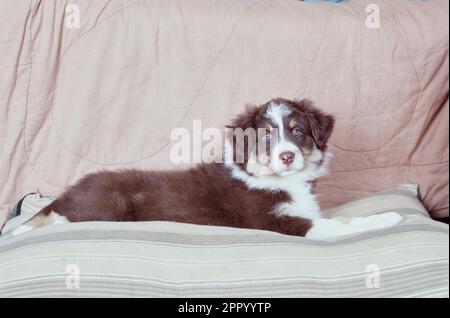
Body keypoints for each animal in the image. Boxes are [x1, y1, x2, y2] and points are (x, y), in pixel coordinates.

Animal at [11, 98, 400, 240]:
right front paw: (390, 218)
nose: (288, 157)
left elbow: (337, 215)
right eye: (265, 137)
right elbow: (340, 224)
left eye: (297, 131)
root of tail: (71, 190)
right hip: (107, 207)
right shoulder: (275, 222)